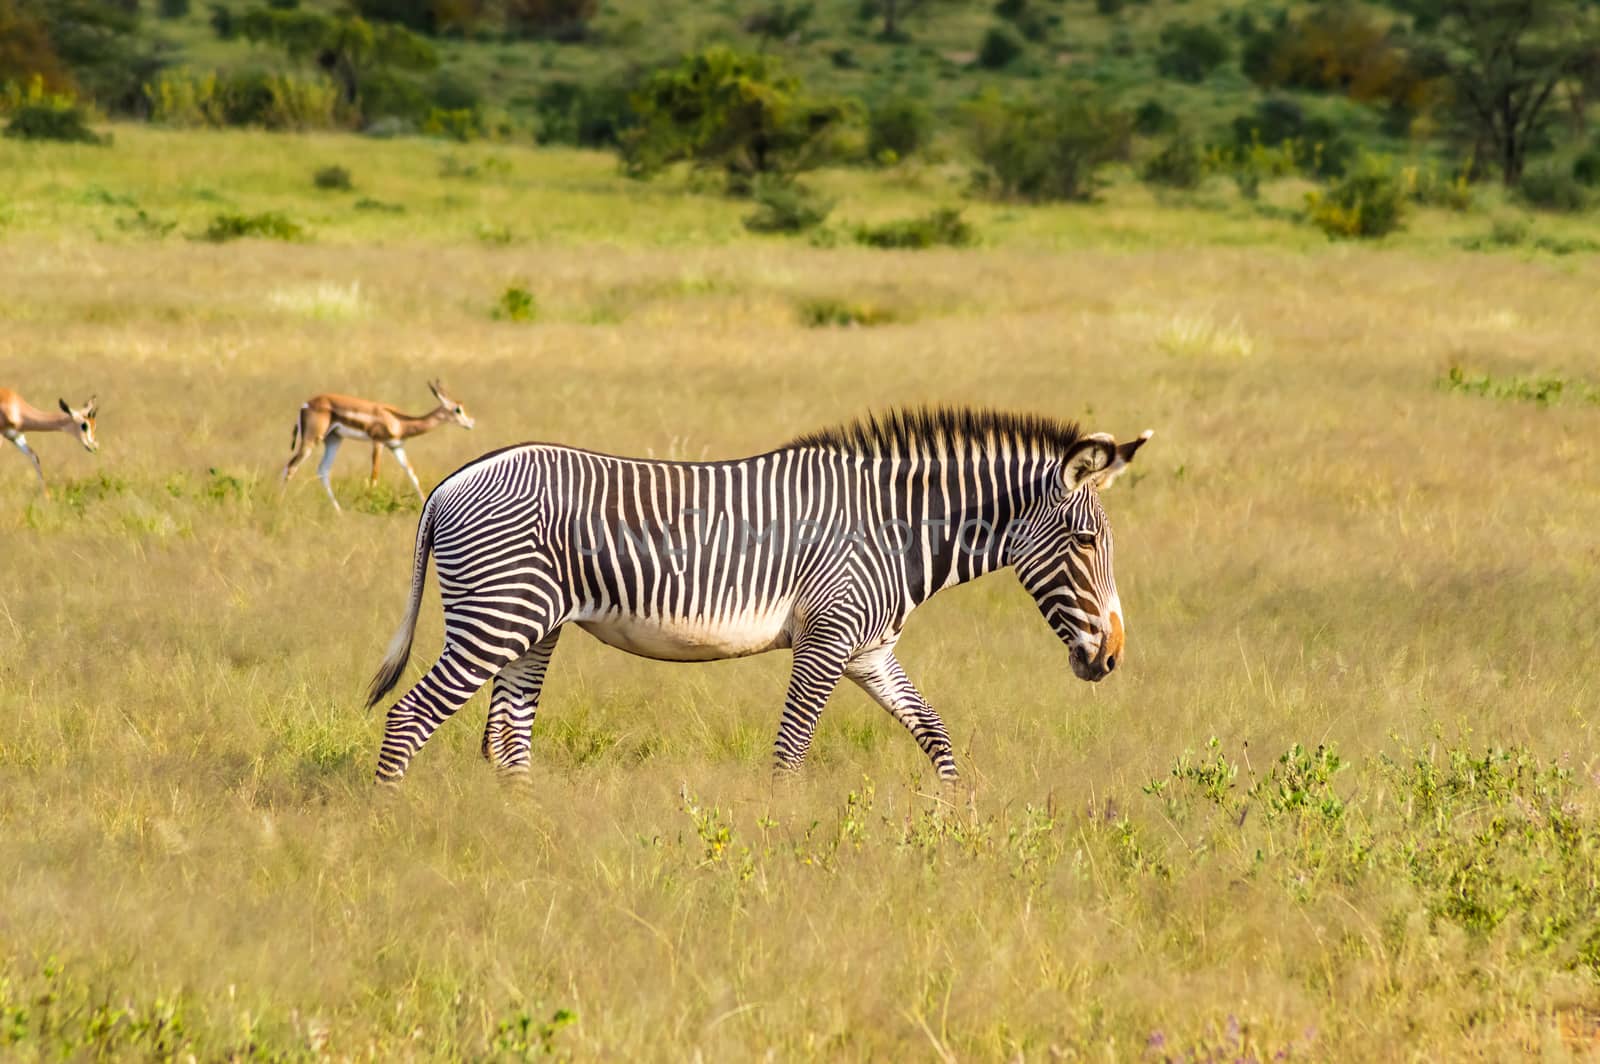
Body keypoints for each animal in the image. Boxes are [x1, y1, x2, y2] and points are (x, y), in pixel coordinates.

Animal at [366, 406, 1152, 780]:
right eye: (1087, 543)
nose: (1113, 658)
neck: (897, 531)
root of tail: (448, 485)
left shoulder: (869, 650)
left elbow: (935, 734)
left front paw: (955, 826)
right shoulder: (827, 638)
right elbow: (790, 752)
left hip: (534, 626)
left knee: (508, 740)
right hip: (495, 618)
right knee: (410, 717)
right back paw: (388, 822)